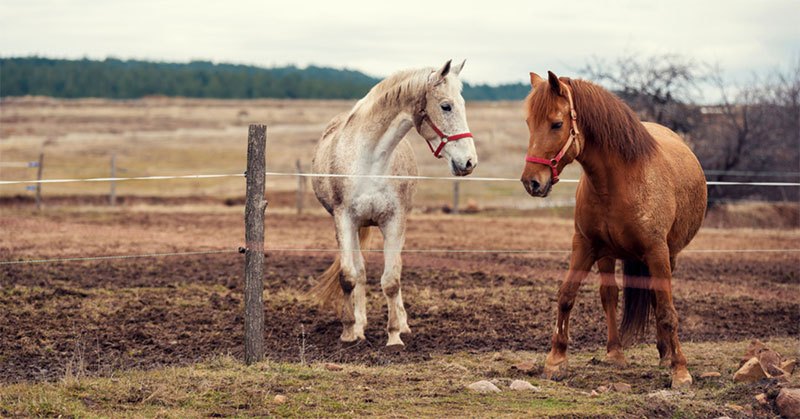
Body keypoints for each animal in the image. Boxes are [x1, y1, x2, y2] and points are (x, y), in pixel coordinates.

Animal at [310, 59, 476, 348]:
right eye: (446, 106)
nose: (469, 162)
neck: (369, 162)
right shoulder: (345, 220)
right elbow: (349, 276)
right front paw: (349, 331)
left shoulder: (394, 221)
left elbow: (391, 280)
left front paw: (395, 335)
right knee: (360, 272)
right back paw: (360, 324)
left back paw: (403, 323)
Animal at [520, 70, 708, 388]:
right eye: (529, 124)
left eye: (557, 124)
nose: (531, 182)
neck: (619, 181)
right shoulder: (584, 245)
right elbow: (567, 296)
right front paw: (556, 360)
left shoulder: (657, 252)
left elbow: (666, 310)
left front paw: (680, 370)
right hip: (607, 255)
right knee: (610, 295)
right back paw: (615, 352)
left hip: (669, 255)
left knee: (658, 300)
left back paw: (664, 354)